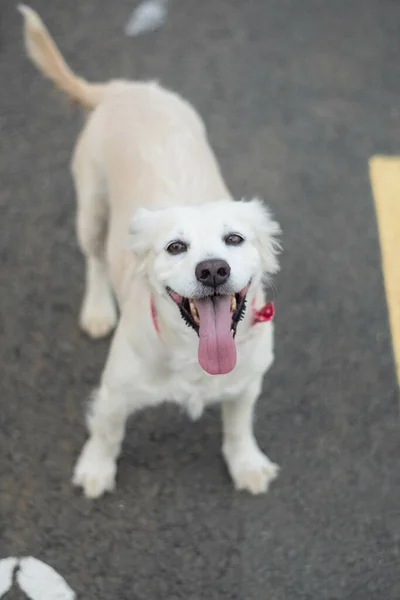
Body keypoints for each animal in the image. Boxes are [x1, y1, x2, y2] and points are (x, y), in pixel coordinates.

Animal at [19, 7, 282, 500]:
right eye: (176, 247)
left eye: (235, 239)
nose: (213, 270)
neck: (194, 356)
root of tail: (123, 88)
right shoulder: (114, 391)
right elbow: (107, 431)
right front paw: (96, 470)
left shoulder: (246, 384)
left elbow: (239, 427)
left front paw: (246, 464)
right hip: (91, 210)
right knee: (95, 259)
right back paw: (98, 310)